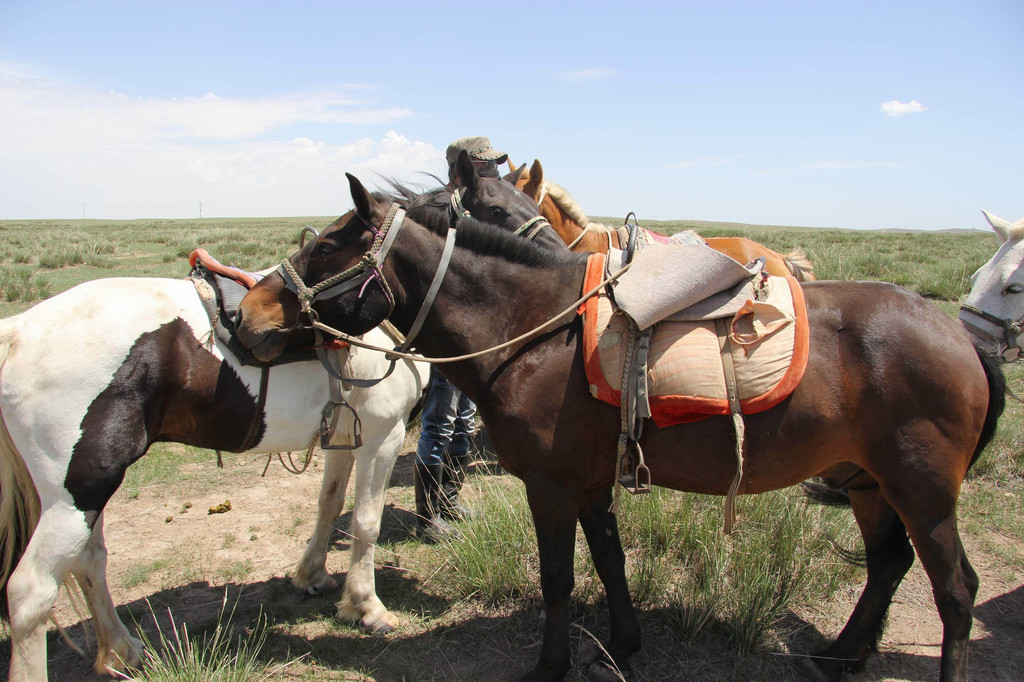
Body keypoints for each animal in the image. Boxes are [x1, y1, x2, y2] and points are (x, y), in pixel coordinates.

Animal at [0, 272, 428, 679]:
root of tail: (17, 330)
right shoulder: (382, 436)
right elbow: (366, 522)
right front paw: (366, 607)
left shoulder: (344, 438)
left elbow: (330, 504)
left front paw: (313, 575)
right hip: (76, 494)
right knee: (30, 592)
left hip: (89, 491)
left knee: (89, 561)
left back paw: (123, 651)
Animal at [234, 175, 999, 679]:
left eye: (330, 246)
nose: (247, 313)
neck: (534, 327)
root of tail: (959, 335)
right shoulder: (590, 481)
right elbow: (609, 561)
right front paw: (624, 643)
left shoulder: (548, 485)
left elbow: (558, 578)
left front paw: (550, 667)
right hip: (869, 482)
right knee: (888, 564)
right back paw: (841, 653)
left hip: (923, 491)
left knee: (955, 592)